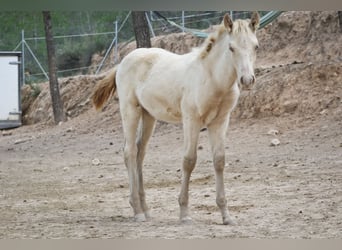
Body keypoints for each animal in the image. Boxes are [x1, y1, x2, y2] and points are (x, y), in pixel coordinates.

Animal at [91, 12, 260, 226]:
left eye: (256, 46)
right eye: (231, 48)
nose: (247, 80)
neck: (212, 78)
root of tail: (122, 62)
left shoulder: (220, 121)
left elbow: (219, 161)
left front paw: (226, 216)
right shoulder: (191, 120)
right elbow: (189, 160)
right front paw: (184, 213)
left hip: (149, 116)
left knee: (140, 153)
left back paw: (146, 210)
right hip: (130, 110)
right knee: (129, 152)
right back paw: (137, 211)